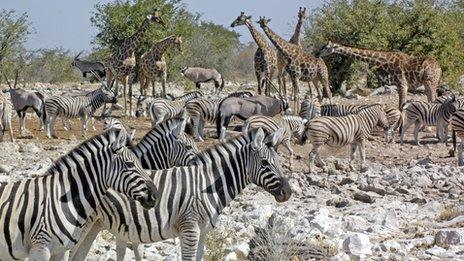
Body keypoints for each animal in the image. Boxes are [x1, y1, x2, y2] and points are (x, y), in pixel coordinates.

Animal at [69, 127, 290, 260]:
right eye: (265, 163)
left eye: (279, 161)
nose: (287, 193)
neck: (207, 185)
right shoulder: (190, 228)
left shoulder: (203, 231)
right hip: (82, 225)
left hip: (96, 224)